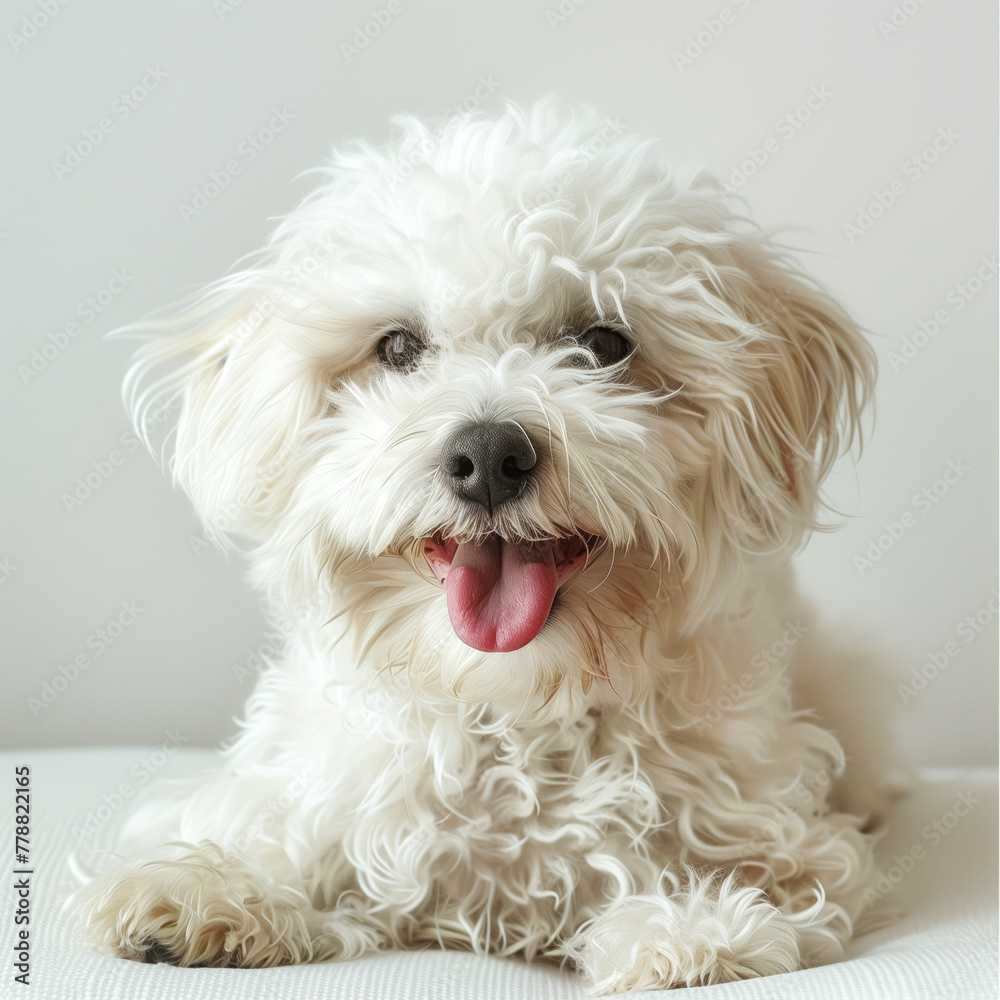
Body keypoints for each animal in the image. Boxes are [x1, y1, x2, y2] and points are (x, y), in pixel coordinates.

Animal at [74, 95, 896, 992]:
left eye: (603, 344)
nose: (491, 456)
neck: (516, 704)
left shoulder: (788, 833)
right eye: (398, 347)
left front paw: (690, 927)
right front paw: (211, 888)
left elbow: (763, 882)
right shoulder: (319, 786)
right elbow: (283, 834)